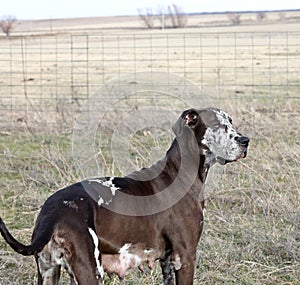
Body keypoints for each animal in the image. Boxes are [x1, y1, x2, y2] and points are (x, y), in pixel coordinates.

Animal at [0, 107, 248, 282]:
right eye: (217, 124)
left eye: (231, 122)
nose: (245, 140)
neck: (181, 173)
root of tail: (52, 211)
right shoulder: (185, 257)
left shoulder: (168, 262)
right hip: (91, 270)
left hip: (49, 271)